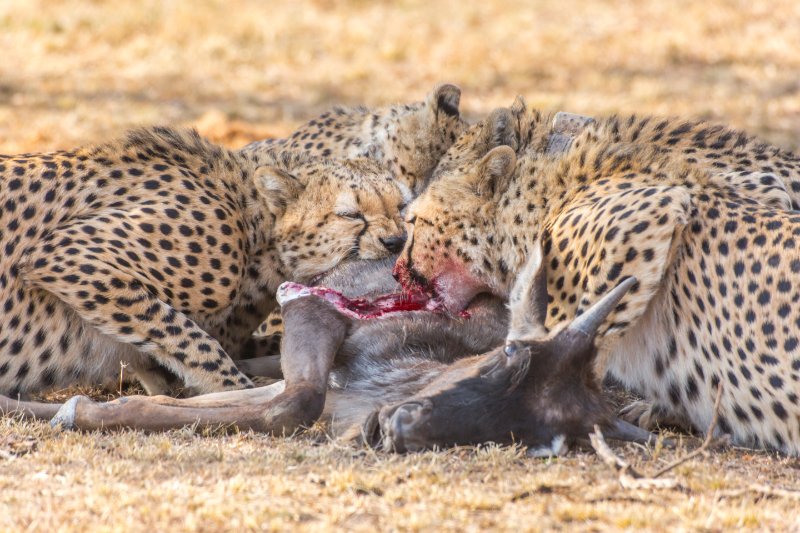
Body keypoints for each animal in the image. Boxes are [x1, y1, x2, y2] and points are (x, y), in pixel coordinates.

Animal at [0, 127, 410, 396]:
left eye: (401, 206)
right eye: (351, 215)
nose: (396, 241)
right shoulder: (67, 254)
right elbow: (191, 339)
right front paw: (238, 390)